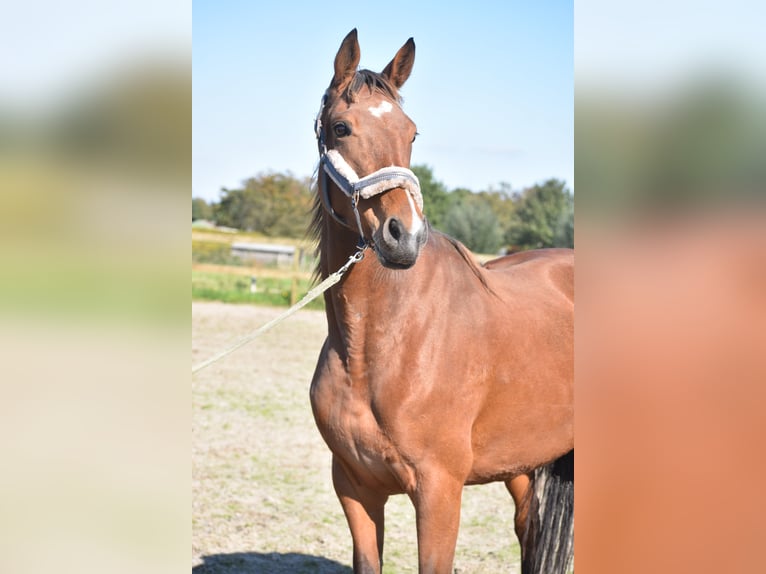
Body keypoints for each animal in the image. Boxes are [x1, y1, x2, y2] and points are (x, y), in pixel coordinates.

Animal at [308, 30, 572, 574]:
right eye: (341, 128)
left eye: (412, 134)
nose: (404, 236)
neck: (377, 347)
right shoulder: (355, 488)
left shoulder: (439, 492)